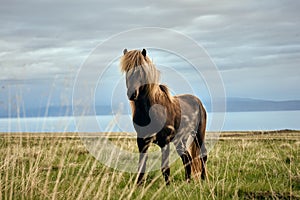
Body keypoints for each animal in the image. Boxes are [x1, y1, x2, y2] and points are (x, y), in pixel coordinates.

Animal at [119, 48, 206, 186]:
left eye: (141, 70)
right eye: (127, 70)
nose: (132, 94)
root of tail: (198, 102)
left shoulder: (165, 141)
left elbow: (165, 167)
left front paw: (168, 186)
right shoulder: (142, 141)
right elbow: (141, 165)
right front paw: (138, 185)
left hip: (199, 135)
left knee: (202, 156)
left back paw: (203, 180)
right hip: (180, 140)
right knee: (187, 158)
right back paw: (187, 182)